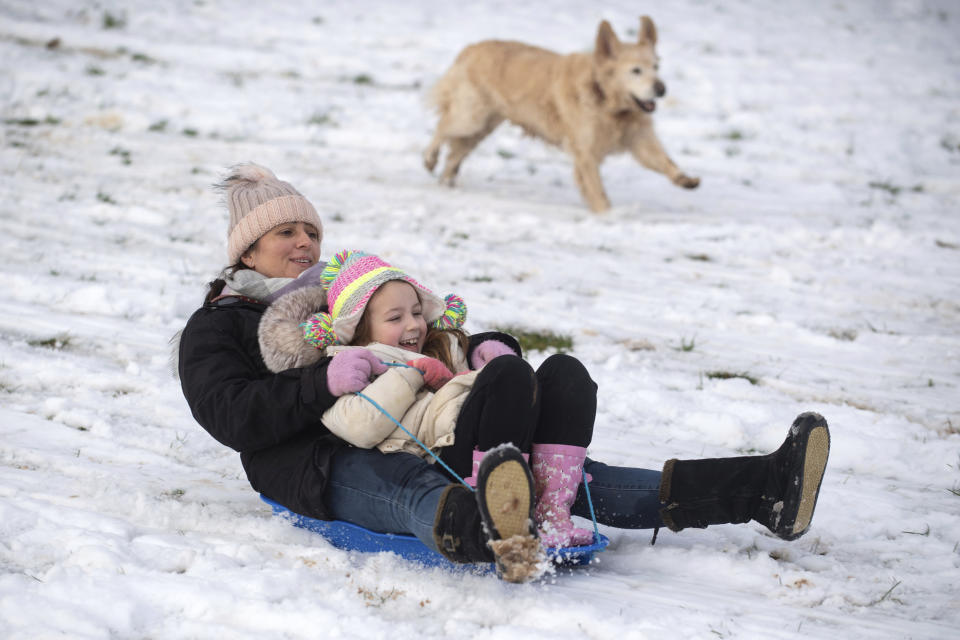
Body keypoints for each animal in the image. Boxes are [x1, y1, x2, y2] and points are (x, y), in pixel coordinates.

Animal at [422, 16, 696, 212]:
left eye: (656, 67)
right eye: (636, 71)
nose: (661, 89)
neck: (605, 98)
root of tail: (470, 48)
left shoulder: (639, 140)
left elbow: (664, 161)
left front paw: (685, 179)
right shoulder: (585, 151)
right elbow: (596, 189)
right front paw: (607, 214)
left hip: (483, 126)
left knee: (455, 153)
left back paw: (447, 181)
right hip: (471, 117)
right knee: (442, 128)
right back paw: (429, 159)